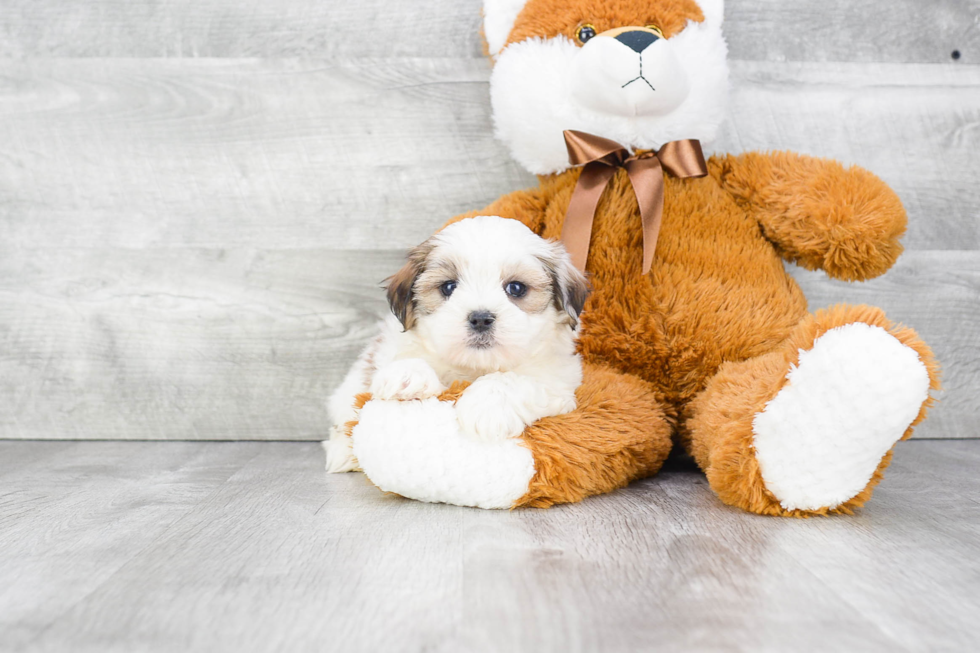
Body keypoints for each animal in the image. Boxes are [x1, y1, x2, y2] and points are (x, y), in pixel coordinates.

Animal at [326, 215, 592, 474]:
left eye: (516, 288)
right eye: (448, 287)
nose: (481, 318)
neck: (474, 368)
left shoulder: (558, 381)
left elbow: (515, 380)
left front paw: (487, 407)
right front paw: (407, 376)